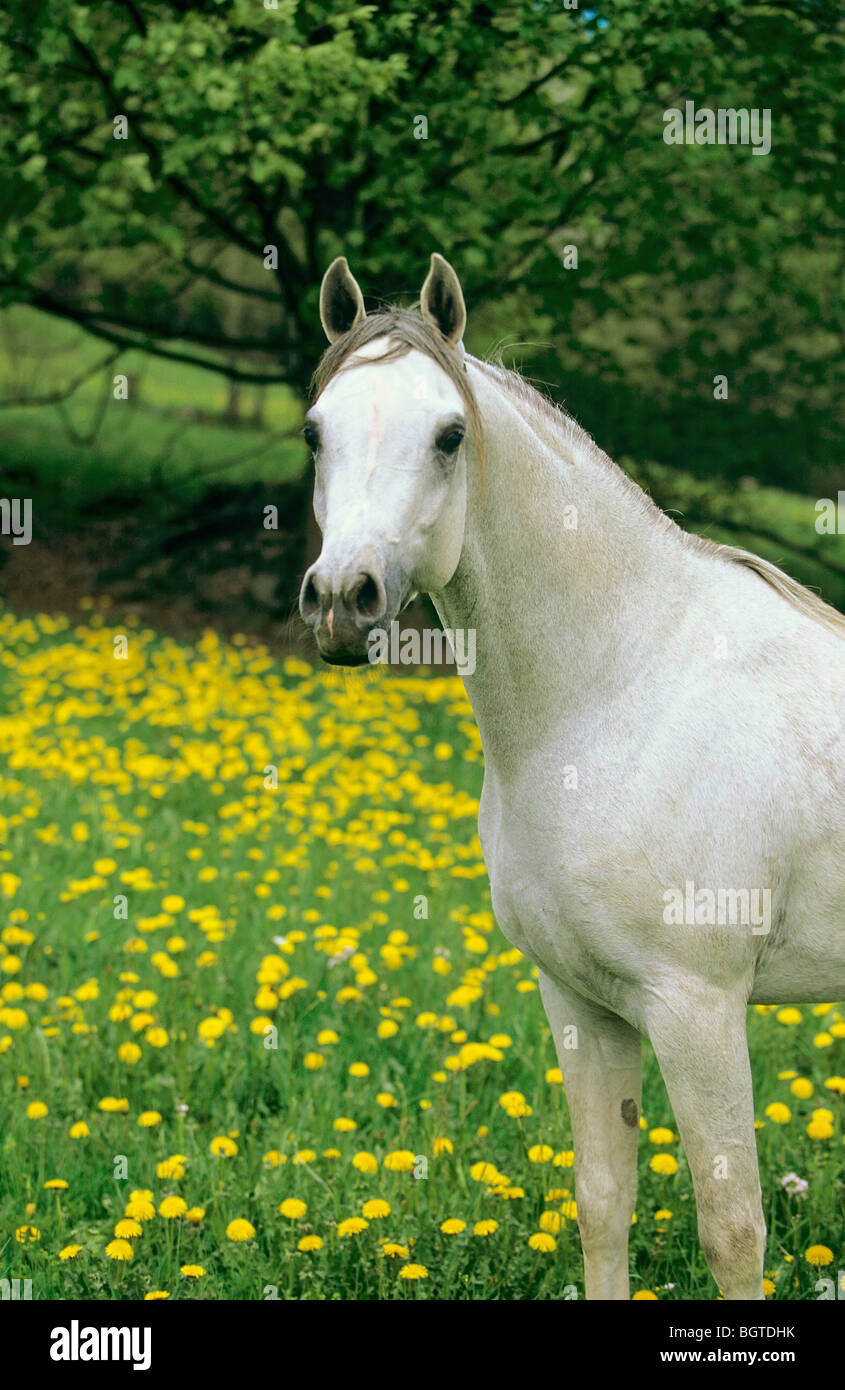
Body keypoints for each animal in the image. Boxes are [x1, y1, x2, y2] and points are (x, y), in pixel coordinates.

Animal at [299, 252, 845, 1300]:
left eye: (449, 434)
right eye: (315, 431)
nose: (344, 600)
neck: (623, 684)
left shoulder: (697, 1010)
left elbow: (732, 1229)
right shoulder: (580, 1003)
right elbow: (601, 1204)